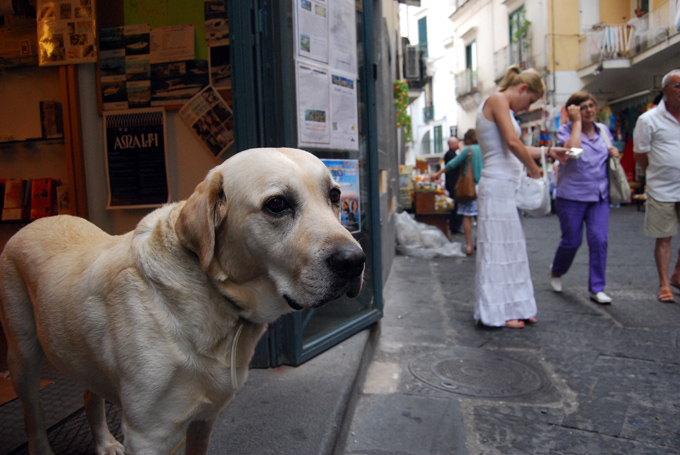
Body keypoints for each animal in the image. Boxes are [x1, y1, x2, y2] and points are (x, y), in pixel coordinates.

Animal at [0, 148, 364, 454]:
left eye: (334, 195)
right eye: (277, 204)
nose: (355, 261)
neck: (216, 300)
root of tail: (37, 222)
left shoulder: (204, 418)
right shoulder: (147, 436)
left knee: (90, 392)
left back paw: (103, 442)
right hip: (23, 358)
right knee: (32, 416)